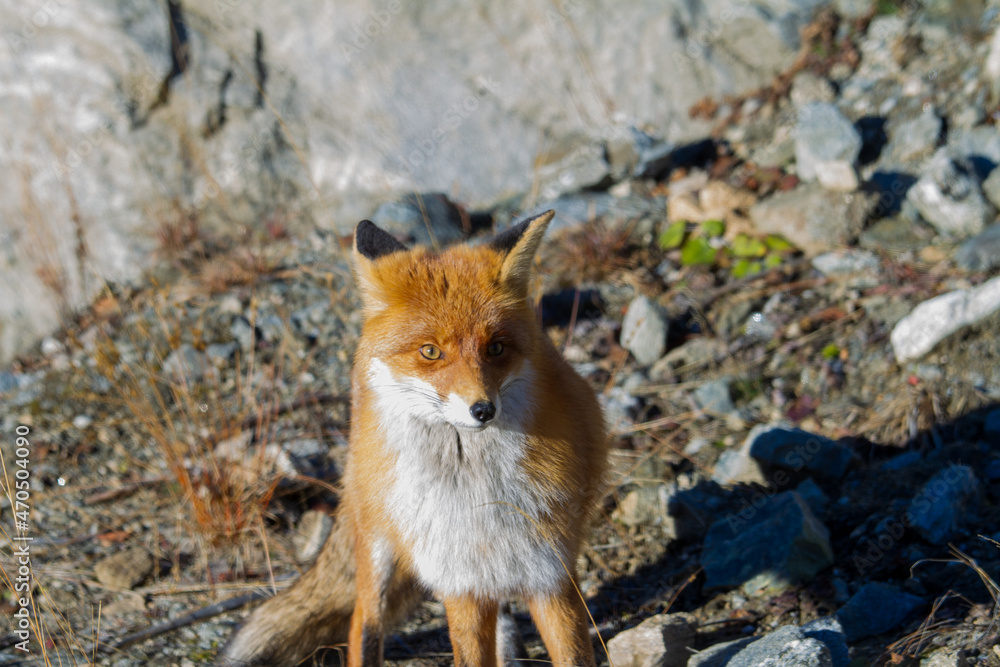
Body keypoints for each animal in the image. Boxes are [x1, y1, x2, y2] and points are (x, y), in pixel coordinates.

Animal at [221, 210, 609, 667]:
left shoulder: (549, 571)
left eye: (496, 348)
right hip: (379, 551)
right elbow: (467, 656)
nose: (483, 410)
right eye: (430, 352)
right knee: (363, 622)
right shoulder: (459, 582)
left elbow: (571, 653)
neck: (476, 496)